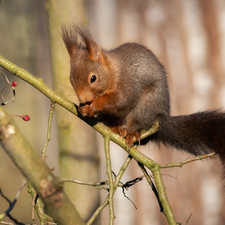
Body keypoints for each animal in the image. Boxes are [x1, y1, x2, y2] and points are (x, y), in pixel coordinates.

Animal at [61, 25, 225, 163]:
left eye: (93, 78)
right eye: (70, 78)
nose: (83, 99)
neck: (114, 71)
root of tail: (162, 118)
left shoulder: (129, 83)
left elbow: (121, 100)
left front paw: (94, 105)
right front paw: (82, 108)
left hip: (146, 107)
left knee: (137, 123)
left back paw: (132, 134)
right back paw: (116, 129)